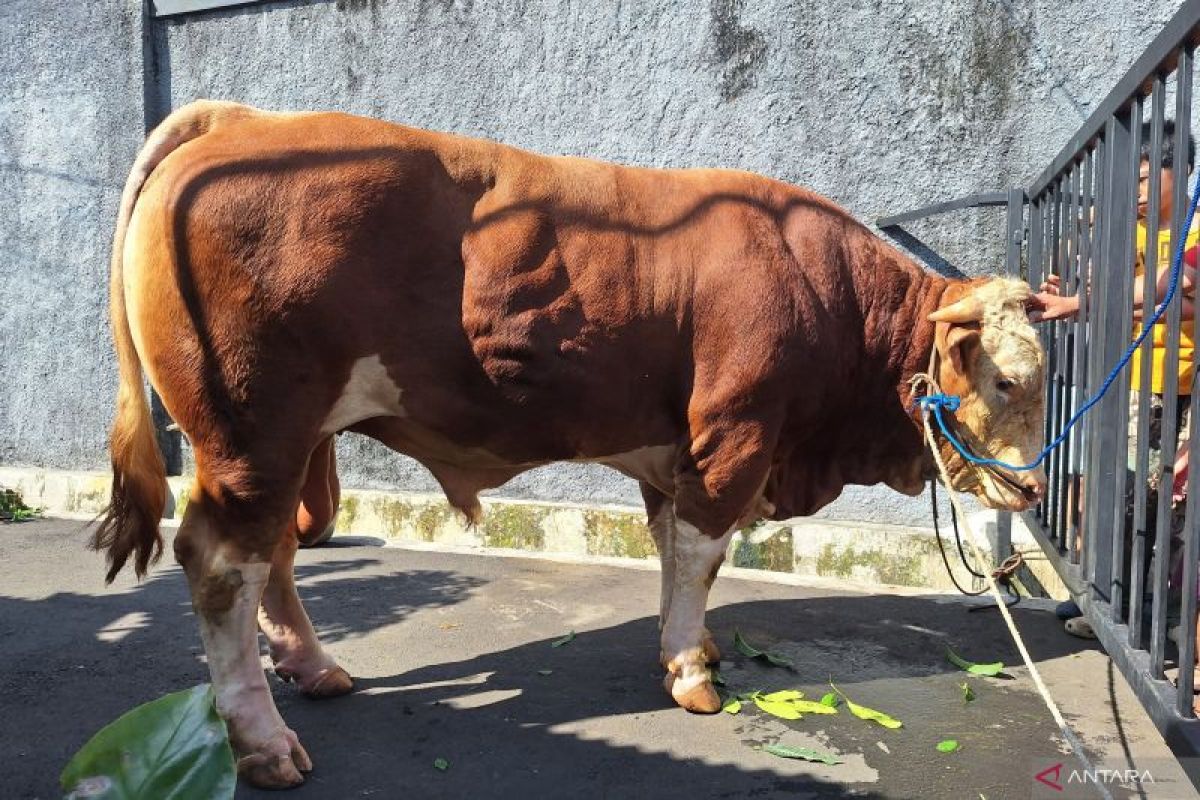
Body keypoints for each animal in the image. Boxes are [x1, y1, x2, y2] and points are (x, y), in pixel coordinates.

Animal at [96, 100, 1047, 788]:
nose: (1035, 491)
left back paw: (314, 667)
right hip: (250, 427)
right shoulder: (734, 435)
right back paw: (262, 740)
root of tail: (243, 118)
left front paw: (690, 646)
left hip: (285, 441)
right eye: (1007, 380)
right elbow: (701, 556)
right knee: (225, 563)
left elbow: (670, 551)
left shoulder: (674, 450)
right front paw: (691, 674)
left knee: (278, 554)